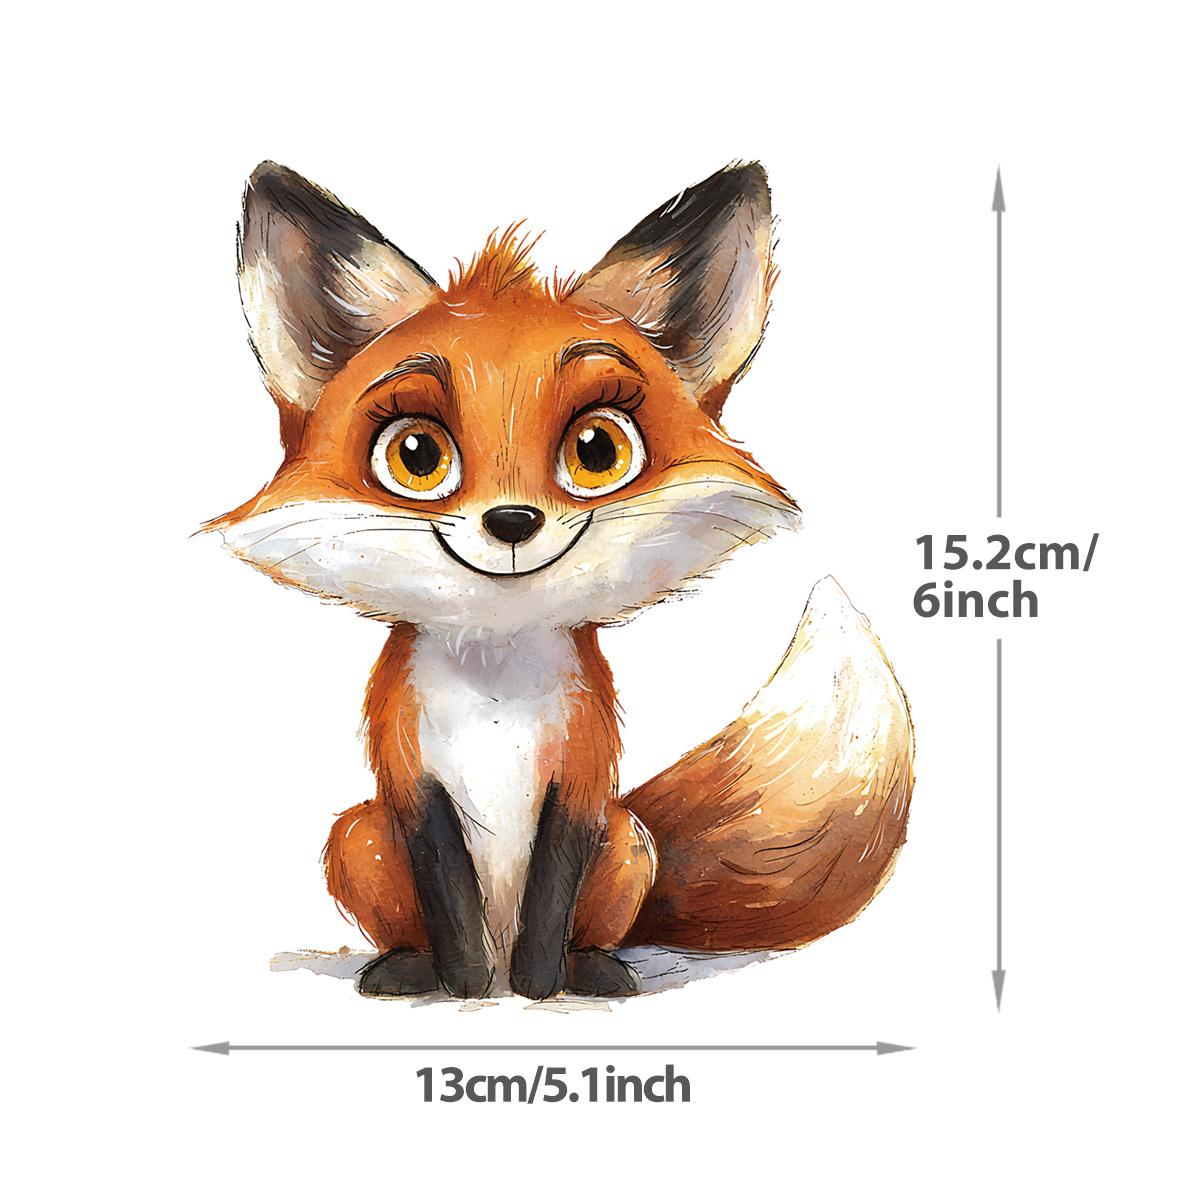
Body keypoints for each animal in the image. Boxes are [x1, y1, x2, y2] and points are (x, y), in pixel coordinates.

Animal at [209, 160, 913, 1000]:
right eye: (416, 455)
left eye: (597, 450)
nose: (512, 521)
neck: (496, 686)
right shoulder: (410, 776)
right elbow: (448, 894)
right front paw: (468, 988)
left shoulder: (581, 771)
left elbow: (551, 890)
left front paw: (539, 988)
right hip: (357, 834)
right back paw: (413, 967)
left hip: (629, 840)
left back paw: (593, 969)